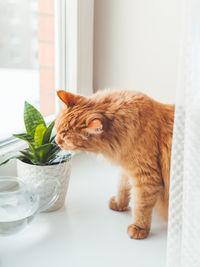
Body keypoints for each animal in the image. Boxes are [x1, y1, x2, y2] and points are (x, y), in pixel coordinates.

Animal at [55, 89, 174, 240]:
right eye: (57, 130)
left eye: (65, 140)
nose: (56, 141)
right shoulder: (126, 168)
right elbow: (122, 188)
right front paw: (119, 204)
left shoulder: (146, 177)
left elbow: (141, 205)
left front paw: (139, 228)